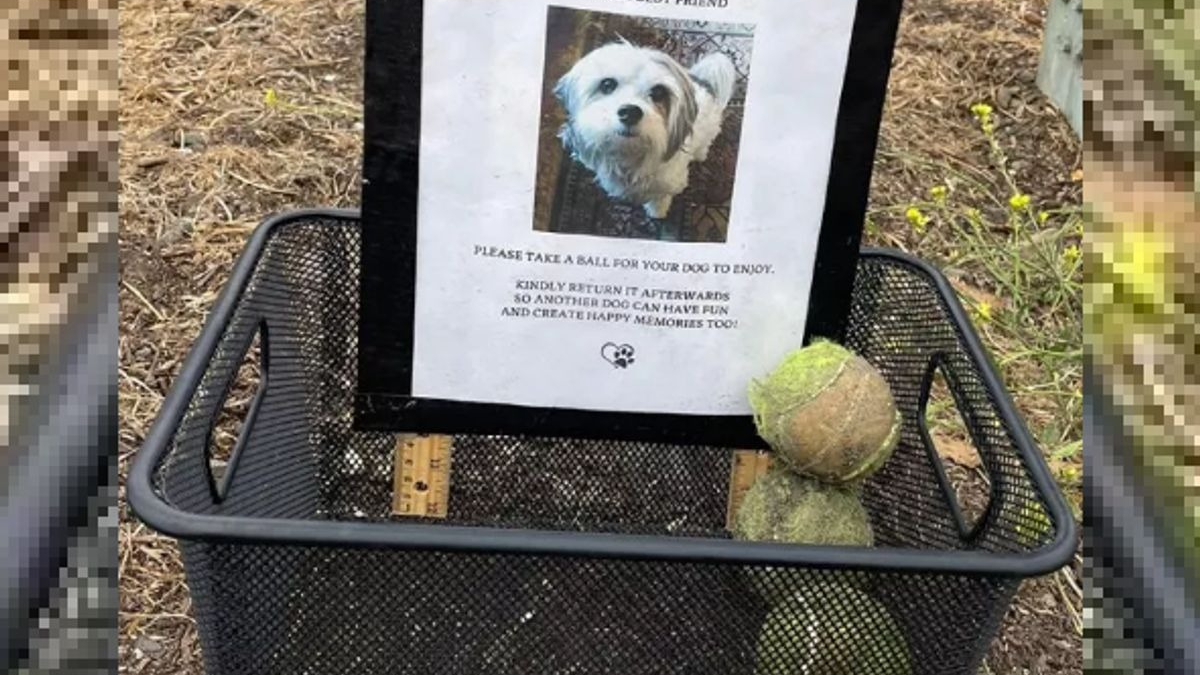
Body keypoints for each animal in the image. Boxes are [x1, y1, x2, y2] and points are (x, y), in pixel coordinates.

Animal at [554, 41, 739, 218]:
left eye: (658, 92)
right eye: (607, 84)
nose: (630, 112)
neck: (631, 156)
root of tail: (704, 82)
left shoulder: (670, 184)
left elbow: (660, 199)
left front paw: (657, 212)